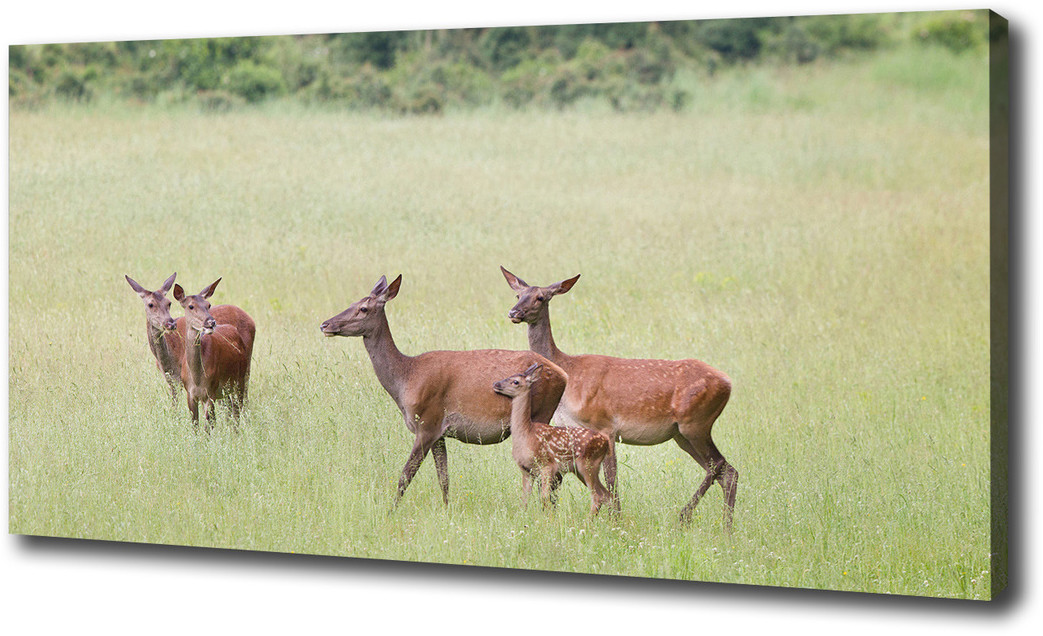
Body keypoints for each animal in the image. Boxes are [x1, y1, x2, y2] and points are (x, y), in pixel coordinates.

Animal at [173, 275, 256, 427]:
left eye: (209, 305)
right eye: (191, 306)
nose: (211, 322)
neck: (197, 378)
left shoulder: (211, 390)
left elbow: (208, 425)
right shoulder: (190, 394)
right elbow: (195, 425)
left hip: (241, 378)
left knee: (239, 409)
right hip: (226, 389)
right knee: (232, 410)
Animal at [317, 273, 567, 504]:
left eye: (363, 308)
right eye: (352, 303)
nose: (325, 324)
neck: (405, 379)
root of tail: (562, 375)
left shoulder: (427, 423)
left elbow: (405, 476)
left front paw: (390, 512)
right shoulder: (440, 433)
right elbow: (443, 478)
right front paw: (447, 510)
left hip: (541, 412)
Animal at [494, 360, 613, 515]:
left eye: (515, 382)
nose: (496, 383)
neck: (527, 433)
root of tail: (605, 442)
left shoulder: (548, 465)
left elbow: (545, 497)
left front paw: (549, 518)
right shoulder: (526, 470)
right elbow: (524, 499)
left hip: (588, 464)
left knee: (598, 496)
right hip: (581, 469)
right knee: (607, 495)